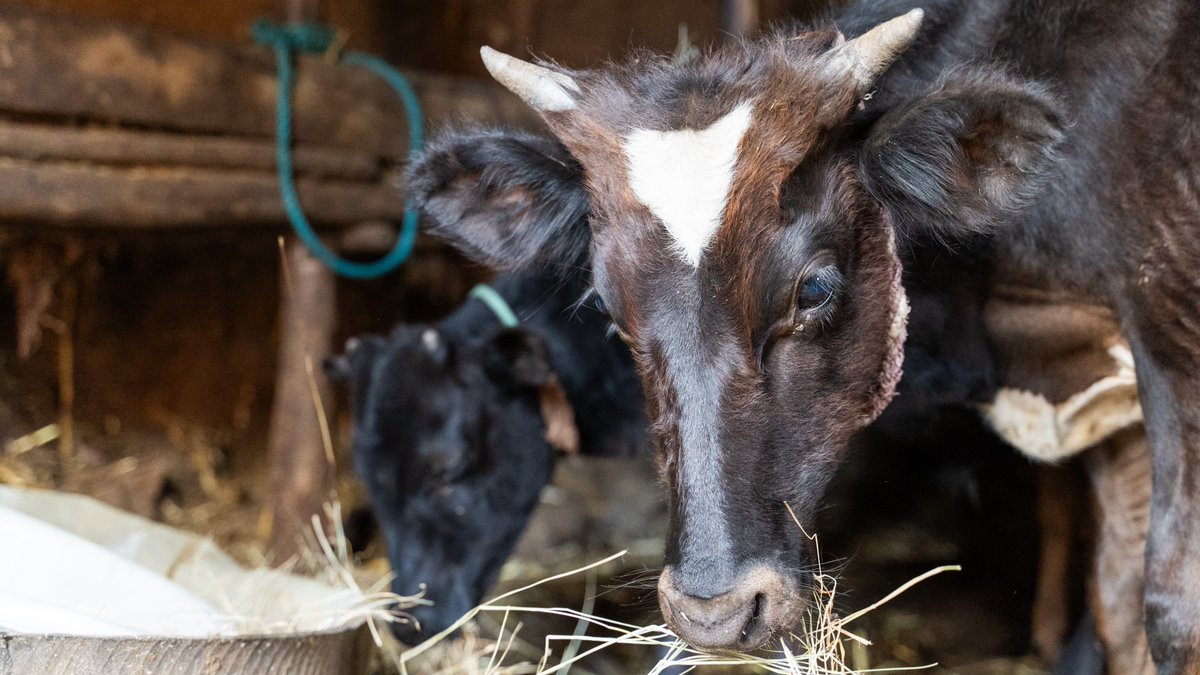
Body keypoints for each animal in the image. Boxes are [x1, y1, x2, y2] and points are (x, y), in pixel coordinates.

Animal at [408, 0, 1200, 669]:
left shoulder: (1174, 341)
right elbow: (1120, 605)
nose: (713, 615)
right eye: (607, 305)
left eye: (813, 289)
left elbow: (1171, 610)